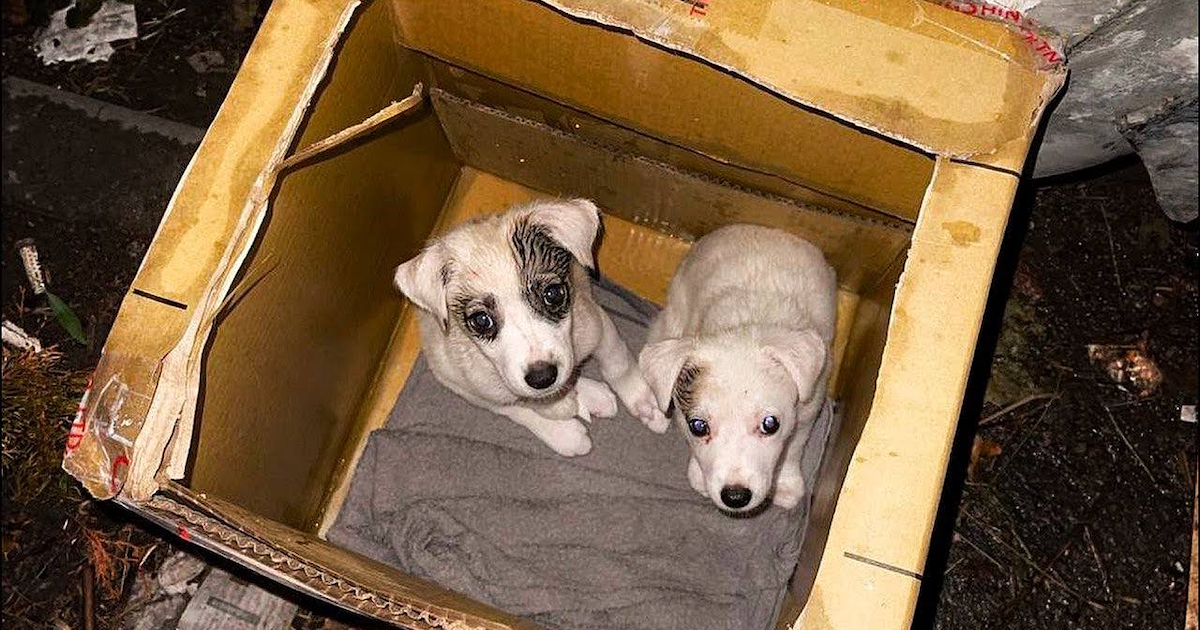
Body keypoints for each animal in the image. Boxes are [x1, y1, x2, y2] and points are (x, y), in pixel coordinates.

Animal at [396, 199, 672, 453]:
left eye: (553, 294)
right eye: (482, 320)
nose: (542, 377)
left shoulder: (598, 324)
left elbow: (618, 363)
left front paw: (644, 401)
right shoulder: (468, 386)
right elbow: (518, 408)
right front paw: (564, 432)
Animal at [638, 223, 835, 513]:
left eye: (770, 424)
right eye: (698, 427)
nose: (735, 497)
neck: (744, 323)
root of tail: (765, 228)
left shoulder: (808, 409)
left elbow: (794, 446)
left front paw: (786, 484)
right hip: (671, 317)